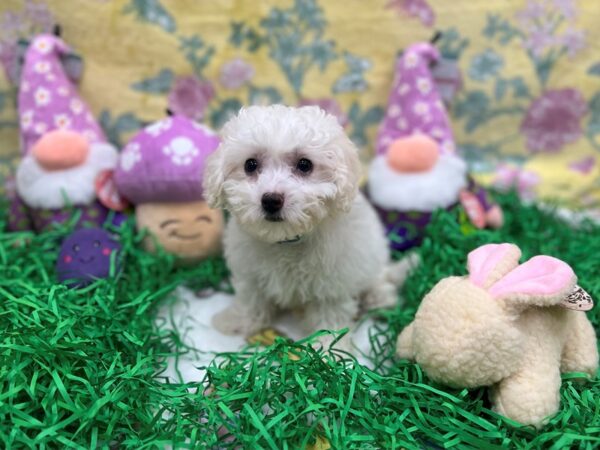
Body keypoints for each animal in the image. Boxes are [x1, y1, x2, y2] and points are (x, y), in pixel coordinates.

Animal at [204, 105, 414, 344]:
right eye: (250, 164)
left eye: (305, 165)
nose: (271, 200)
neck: (286, 240)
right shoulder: (251, 273)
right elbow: (251, 299)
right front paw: (237, 322)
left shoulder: (332, 283)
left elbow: (330, 314)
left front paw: (328, 345)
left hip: (372, 257)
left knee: (378, 278)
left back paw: (378, 297)